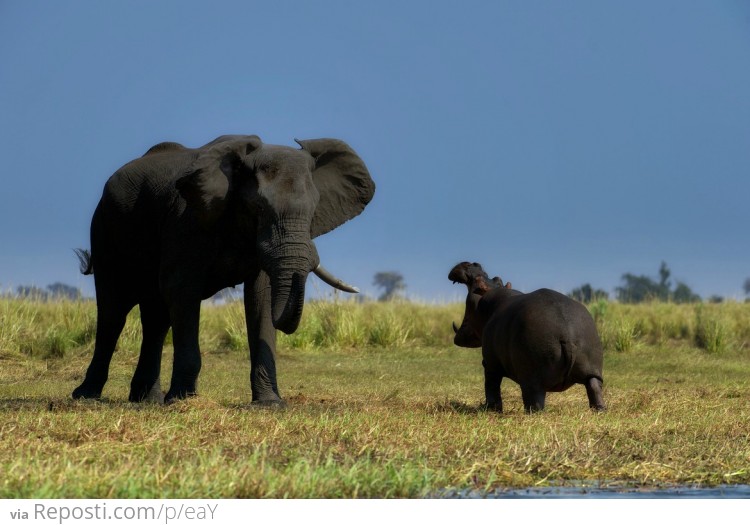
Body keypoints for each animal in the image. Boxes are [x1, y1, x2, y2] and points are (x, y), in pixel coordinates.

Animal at [72, 133, 376, 404]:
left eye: (314, 210)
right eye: (258, 208)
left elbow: (261, 297)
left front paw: (270, 403)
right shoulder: (186, 219)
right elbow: (182, 289)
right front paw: (182, 401)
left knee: (156, 318)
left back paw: (146, 399)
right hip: (106, 229)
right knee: (113, 312)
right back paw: (87, 396)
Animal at [450, 260, 608, 412]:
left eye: (477, 282)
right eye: (496, 278)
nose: (473, 264)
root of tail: (567, 333)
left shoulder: (490, 363)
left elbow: (491, 385)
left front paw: (490, 409)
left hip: (532, 379)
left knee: (534, 402)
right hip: (592, 369)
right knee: (594, 387)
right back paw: (600, 410)